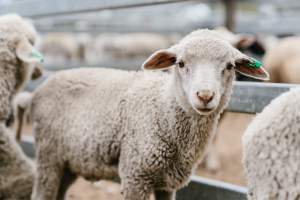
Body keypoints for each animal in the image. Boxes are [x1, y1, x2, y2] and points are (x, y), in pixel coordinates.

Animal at [29, 28, 270, 200]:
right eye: (180, 63)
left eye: (229, 66)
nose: (204, 95)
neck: (163, 108)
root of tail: (45, 84)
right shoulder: (135, 175)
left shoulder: (168, 183)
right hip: (48, 156)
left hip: (68, 163)